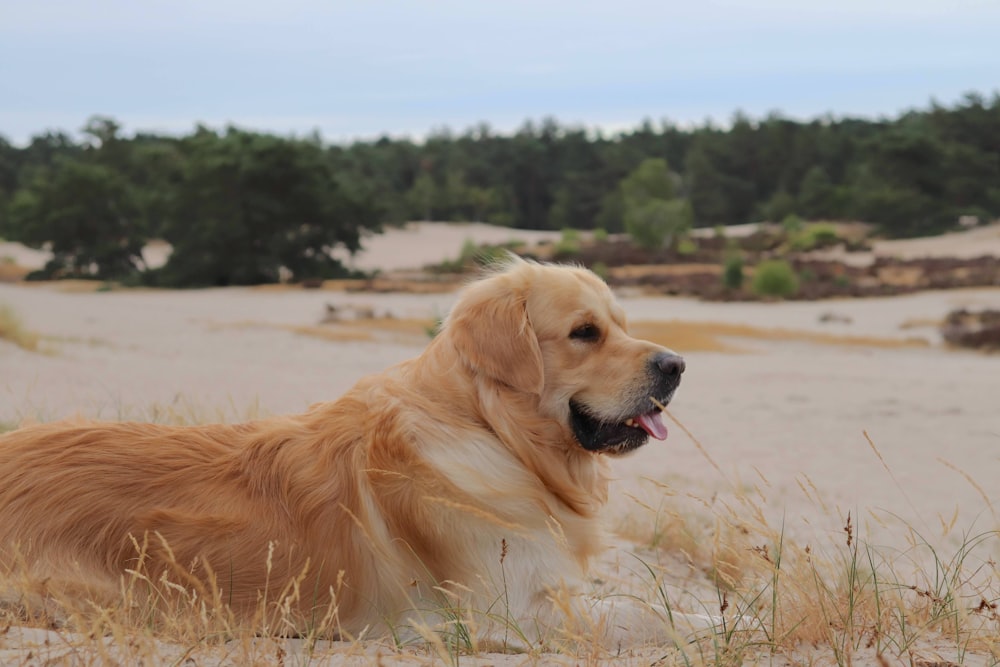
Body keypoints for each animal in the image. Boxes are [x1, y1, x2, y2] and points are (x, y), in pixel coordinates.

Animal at [0, 258, 720, 648]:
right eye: (585, 333)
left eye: (622, 324)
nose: (678, 365)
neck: (493, 433)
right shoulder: (509, 610)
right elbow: (644, 610)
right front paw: (720, 617)